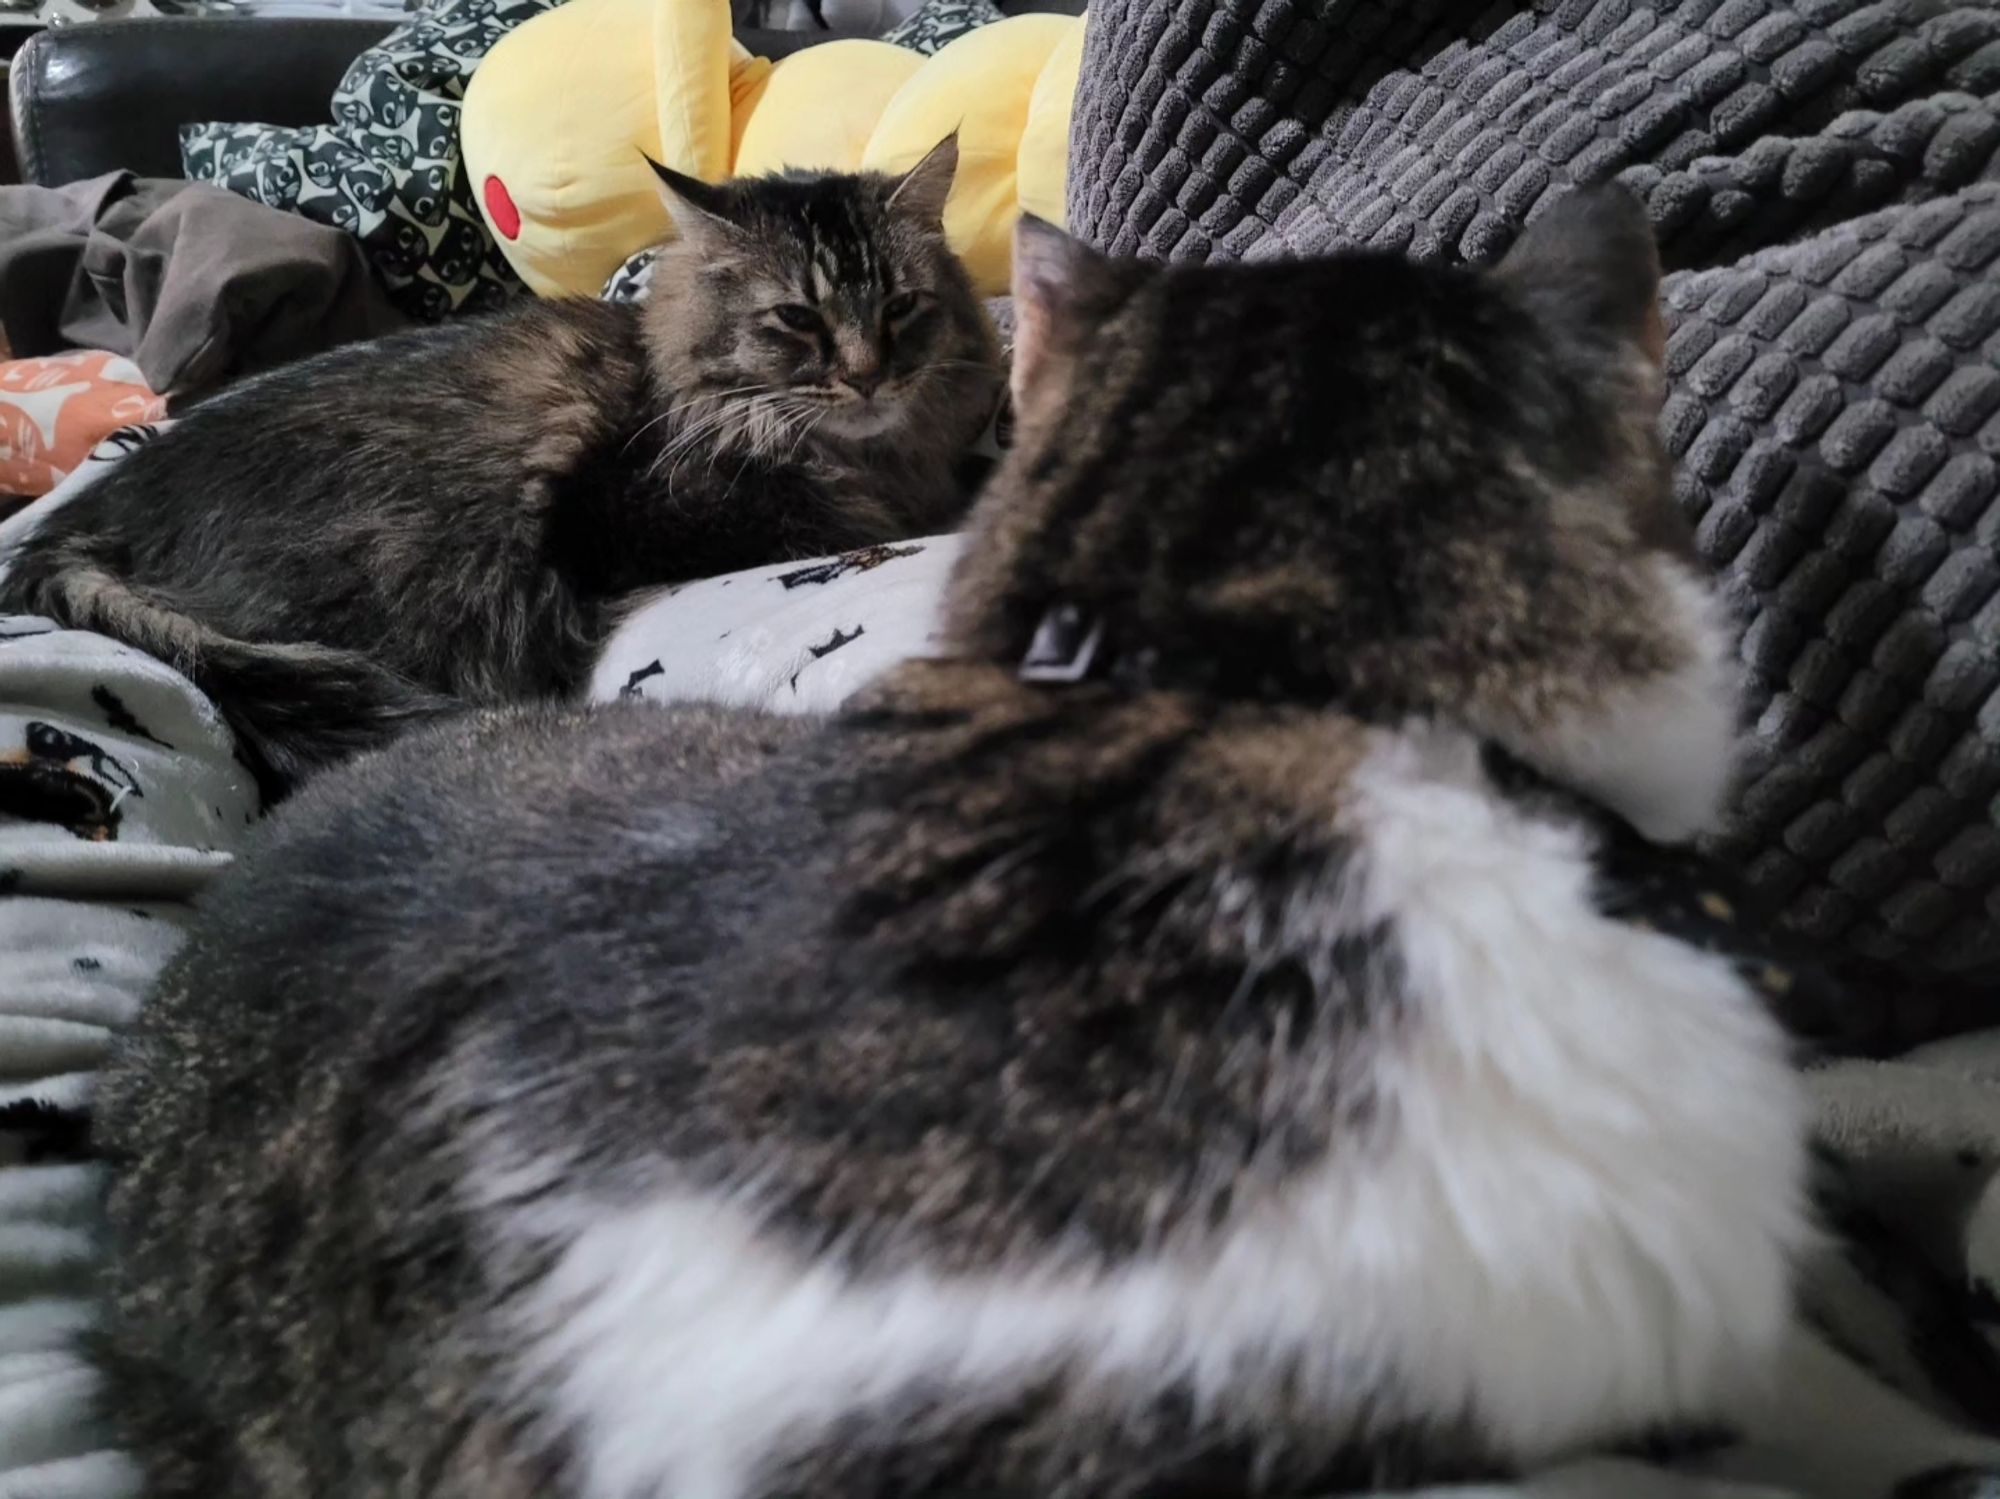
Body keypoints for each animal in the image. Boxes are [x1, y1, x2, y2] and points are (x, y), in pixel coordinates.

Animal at [0, 141, 1000, 799]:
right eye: (797, 319)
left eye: (903, 308)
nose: (869, 375)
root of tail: (79, 522)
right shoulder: (637, 518)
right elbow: (858, 517)